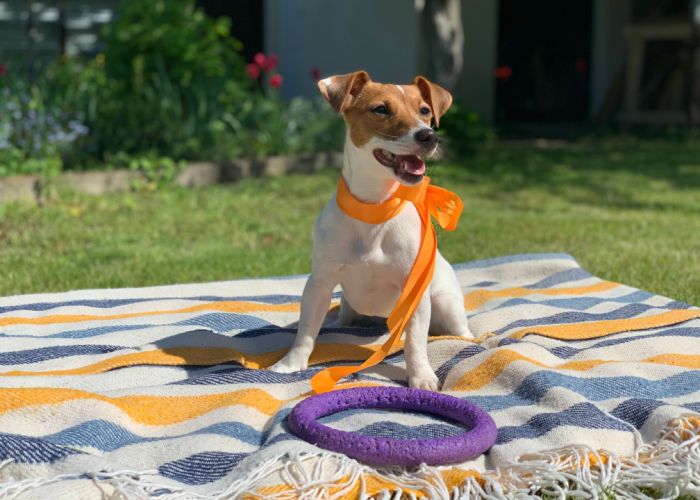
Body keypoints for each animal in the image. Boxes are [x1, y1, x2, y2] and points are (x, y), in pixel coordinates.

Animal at [270, 71, 474, 390]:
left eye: (424, 110)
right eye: (380, 109)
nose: (429, 136)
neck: (376, 209)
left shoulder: (415, 293)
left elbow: (415, 342)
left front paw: (422, 376)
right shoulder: (319, 284)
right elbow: (305, 330)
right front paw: (290, 364)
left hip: (447, 304)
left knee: (459, 330)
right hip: (346, 305)